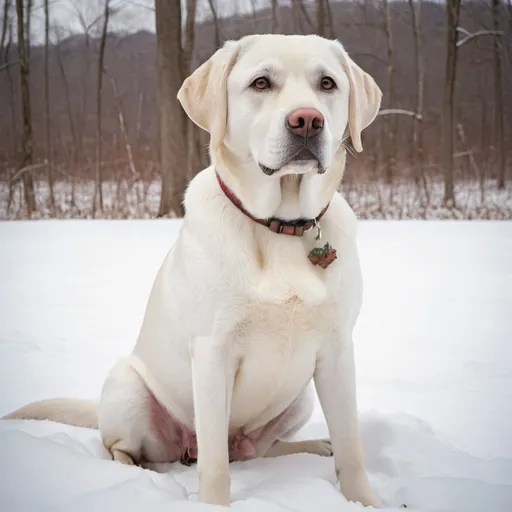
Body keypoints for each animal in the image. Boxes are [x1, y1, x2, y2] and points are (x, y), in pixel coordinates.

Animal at [3, 35, 380, 508]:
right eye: (261, 82)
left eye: (327, 83)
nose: (308, 121)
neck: (281, 226)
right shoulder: (213, 352)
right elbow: (215, 464)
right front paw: (213, 504)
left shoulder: (336, 350)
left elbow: (352, 447)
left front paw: (363, 500)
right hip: (128, 387)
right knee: (131, 447)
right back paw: (135, 472)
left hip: (301, 398)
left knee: (256, 449)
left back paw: (309, 445)